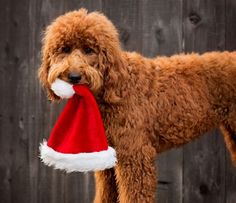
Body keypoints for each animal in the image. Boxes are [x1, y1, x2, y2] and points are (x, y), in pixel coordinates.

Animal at [38, 8, 236, 203]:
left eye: (89, 50)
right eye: (65, 49)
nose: (73, 76)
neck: (118, 85)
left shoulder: (135, 155)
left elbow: (134, 194)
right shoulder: (108, 161)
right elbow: (106, 194)